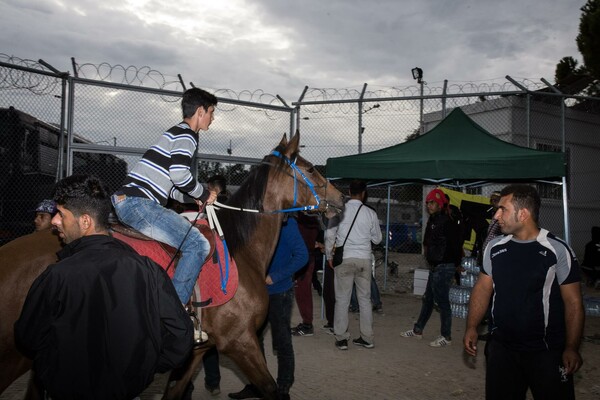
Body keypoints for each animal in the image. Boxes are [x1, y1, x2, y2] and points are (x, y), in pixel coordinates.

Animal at [0, 133, 342, 398]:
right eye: (311, 169)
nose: (339, 199)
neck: (240, 250)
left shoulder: (199, 349)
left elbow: (175, 392)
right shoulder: (240, 342)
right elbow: (270, 389)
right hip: (14, 354)